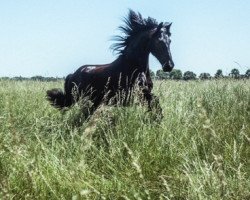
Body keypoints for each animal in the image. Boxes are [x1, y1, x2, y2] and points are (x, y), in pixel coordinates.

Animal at [47, 9, 175, 115]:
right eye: (159, 41)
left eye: (170, 41)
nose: (169, 66)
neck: (134, 67)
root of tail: (72, 74)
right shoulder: (139, 95)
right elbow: (155, 105)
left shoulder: (143, 94)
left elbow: (156, 105)